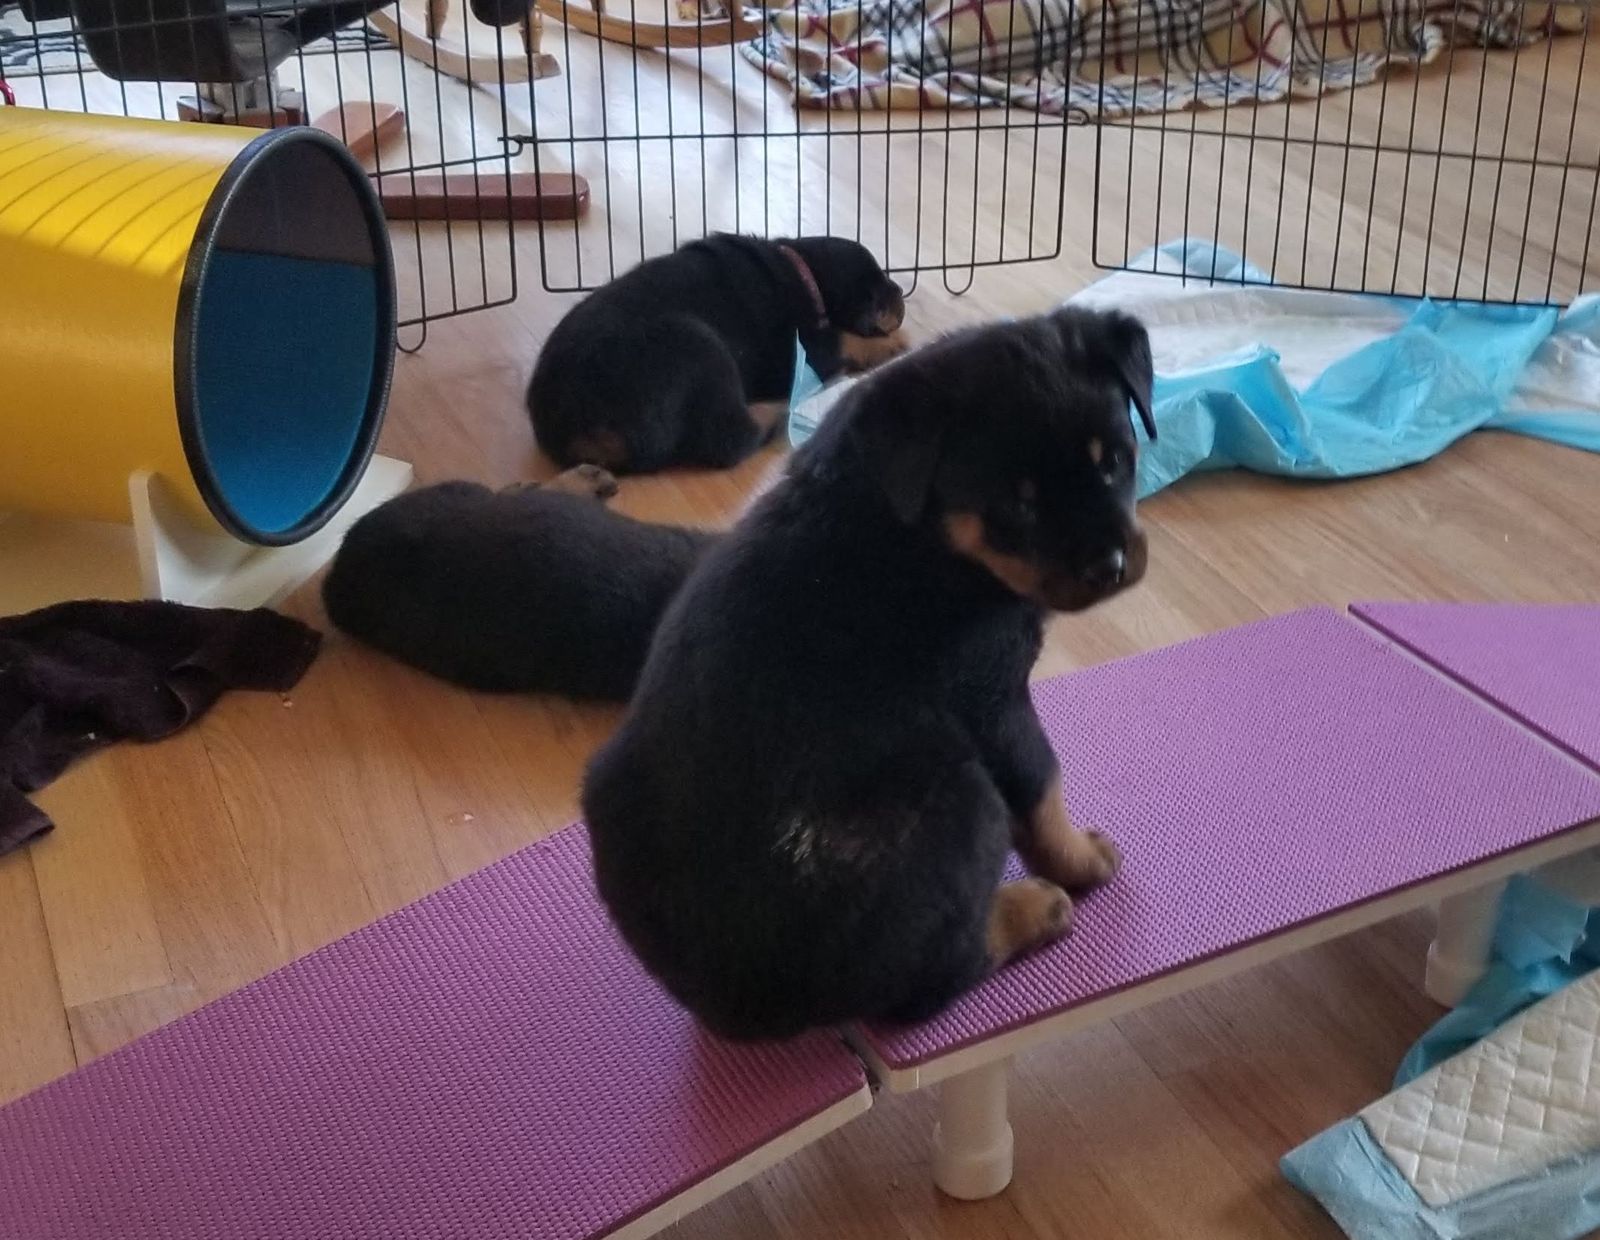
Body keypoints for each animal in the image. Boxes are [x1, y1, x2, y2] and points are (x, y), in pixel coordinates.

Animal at [526, 234, 908, 475]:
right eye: (880, 291)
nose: (901, 292)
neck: (805, 272)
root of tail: (578, 432)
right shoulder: (806, 348)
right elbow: (845, 340)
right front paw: (893, 345)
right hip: (699, 343)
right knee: (730, 441)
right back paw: (777, 411)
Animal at [581, 305, 1157, 1040]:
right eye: (1018, 507)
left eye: (1115, 460)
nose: (1111, 566)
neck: (921, 520)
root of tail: (746, 1008)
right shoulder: (991, 694)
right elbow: (1042, 784)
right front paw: (1082, 859)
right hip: (960, 794)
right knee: (926, 985)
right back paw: (1032, 909)